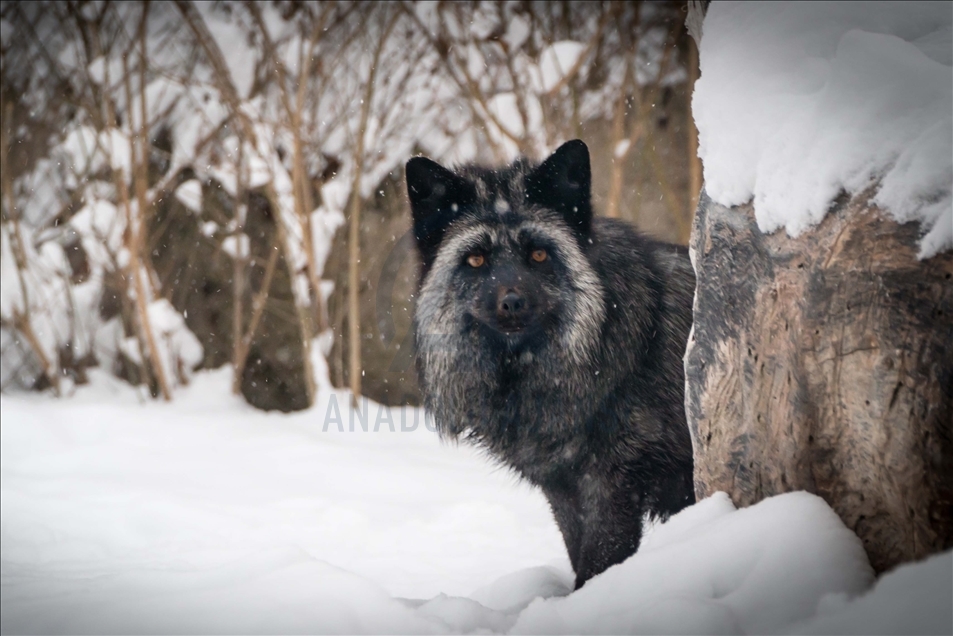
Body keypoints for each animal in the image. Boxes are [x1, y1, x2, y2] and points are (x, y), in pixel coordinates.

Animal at [406, 142, 696, 588]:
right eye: (476, 260)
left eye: (539, 254)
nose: (511, 302)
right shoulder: (563, 489)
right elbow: (579, 557)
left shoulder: (612, 485)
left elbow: (598, 564)